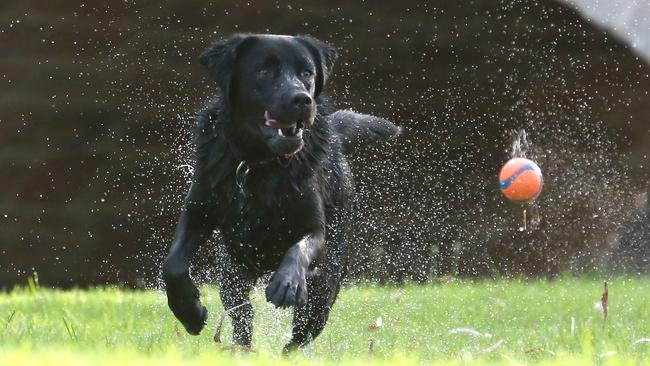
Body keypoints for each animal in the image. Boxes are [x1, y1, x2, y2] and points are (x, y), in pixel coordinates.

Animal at [161, 34, 400, 352]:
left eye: (307, 73)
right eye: (264, 71)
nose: (302, 99)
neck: (258, 164)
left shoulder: (314, 228)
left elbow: (299, 249)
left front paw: (287, 284)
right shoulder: (198, 211)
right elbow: (173, 265)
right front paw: (189, 311)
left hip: (326, 285)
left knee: (302, 331)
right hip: (232, 274)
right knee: (242, 316)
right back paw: (240, 349)